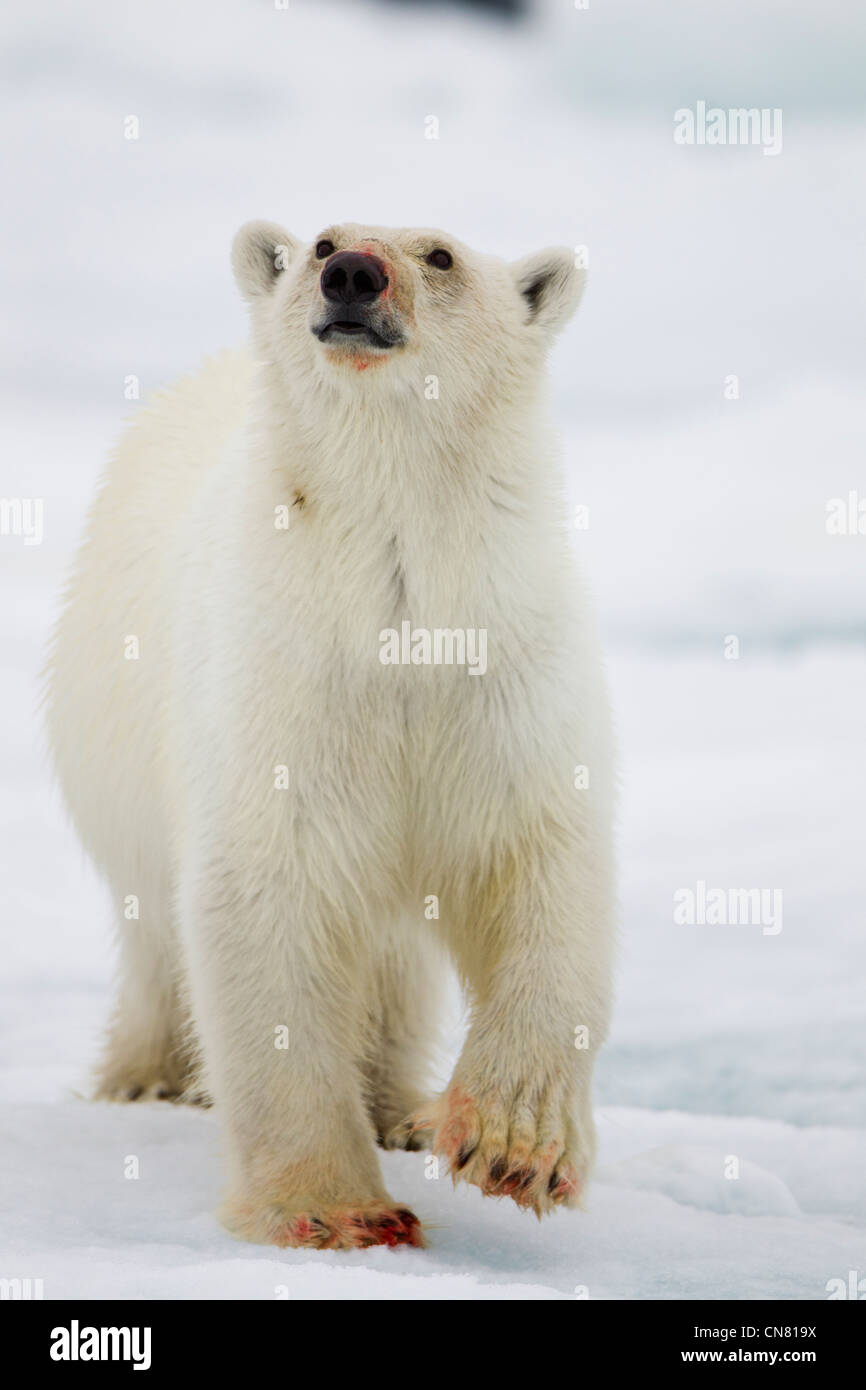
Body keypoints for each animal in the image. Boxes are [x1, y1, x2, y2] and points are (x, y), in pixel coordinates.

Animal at [45, 225, 617, 1251]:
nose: (354, 273)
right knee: (153, 928)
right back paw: (147, 1080)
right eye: (319, 242)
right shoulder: (284, 687)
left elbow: (540, 870)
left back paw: (400, 1107)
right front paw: (337, 1210)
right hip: (112, 747)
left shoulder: (508, 675)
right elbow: (271, 899)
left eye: (440, 255)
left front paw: (513, 1147)